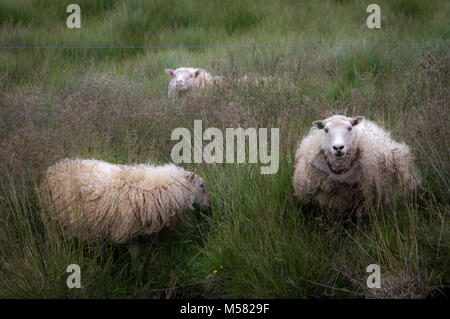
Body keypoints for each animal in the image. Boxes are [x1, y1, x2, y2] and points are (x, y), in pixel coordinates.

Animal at [41, 159, 210, 256]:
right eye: (202, 185)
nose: (209, 206)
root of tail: (52, 169)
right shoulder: (127, 231)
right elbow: (136, 257)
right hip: (51, 222)